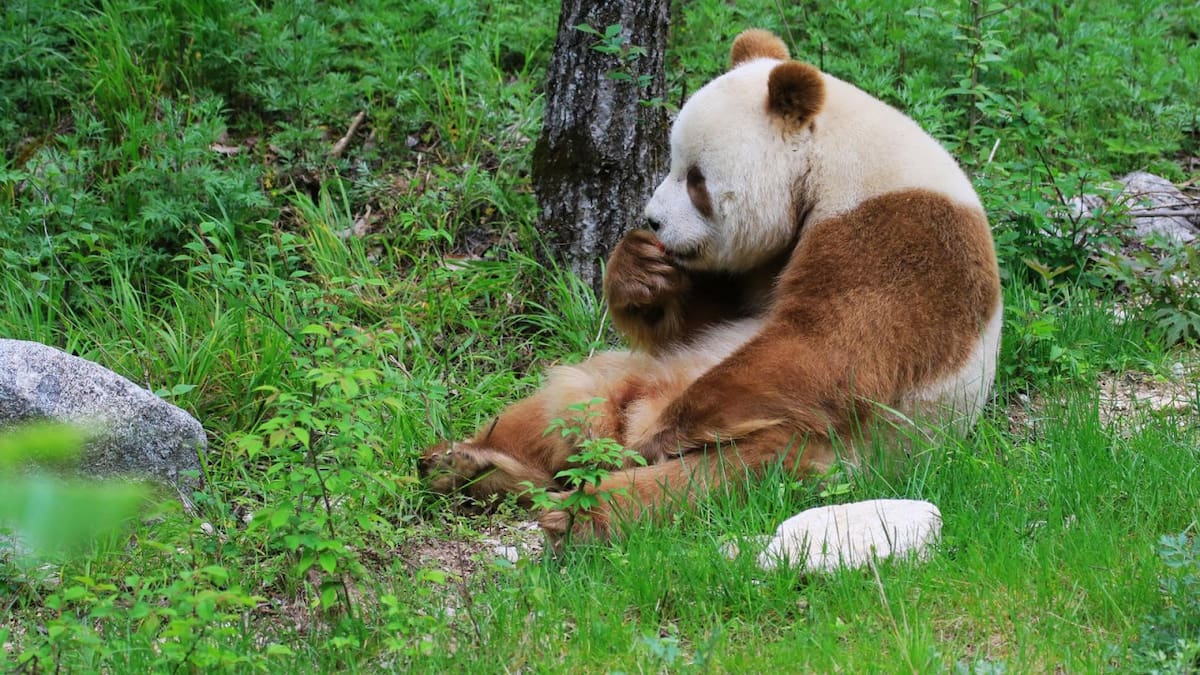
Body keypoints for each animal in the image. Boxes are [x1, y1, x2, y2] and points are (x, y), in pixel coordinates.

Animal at [420, 29, 1001, 541]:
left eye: (697, 179)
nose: (653, 221)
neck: (830, 157)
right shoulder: (762, 262)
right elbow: (715, 314)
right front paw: (641, 270)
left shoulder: (894, 233)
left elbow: (831, 348)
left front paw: (666, 430)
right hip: (647, 373)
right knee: (571, 398)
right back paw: (472, 464)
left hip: (824, 449)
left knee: (717, 478)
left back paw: (584, 510)